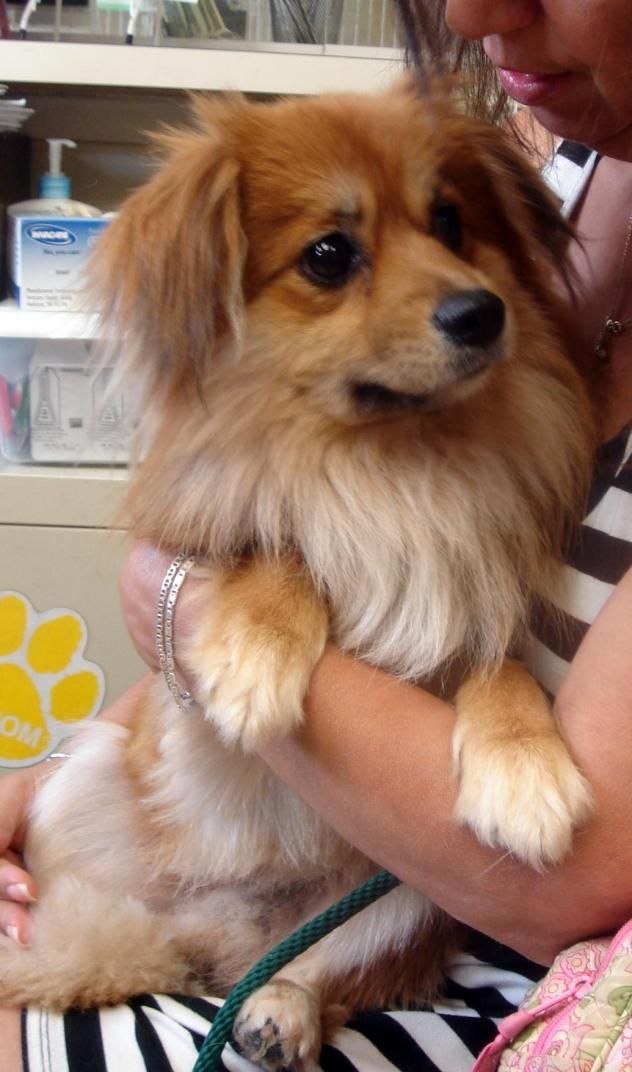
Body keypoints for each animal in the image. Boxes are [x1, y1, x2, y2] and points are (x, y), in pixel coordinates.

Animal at [0, 79, 595, 1067]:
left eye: (451, 222)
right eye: (329, 255)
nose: (481, 312)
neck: (388, 466)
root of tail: (206, 939)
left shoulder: (478, 610)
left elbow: (500, 667)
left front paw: (523, 765)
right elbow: (277, 552)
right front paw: (254, 654)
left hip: (410, 895)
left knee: (329, 972)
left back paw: (279, 1010)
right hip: (87, 776)